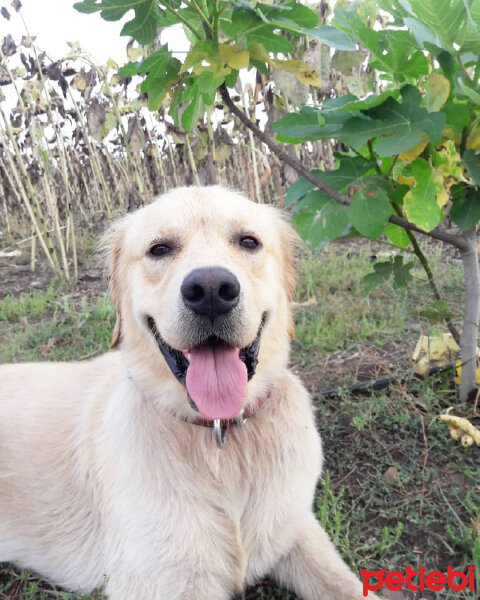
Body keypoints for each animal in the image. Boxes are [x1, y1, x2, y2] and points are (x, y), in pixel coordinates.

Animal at [0, 188, 378, 600]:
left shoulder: (294, 529)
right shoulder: (163, 582)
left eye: (248, 241)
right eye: (160, 249)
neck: (221, 438)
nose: (211, 290)